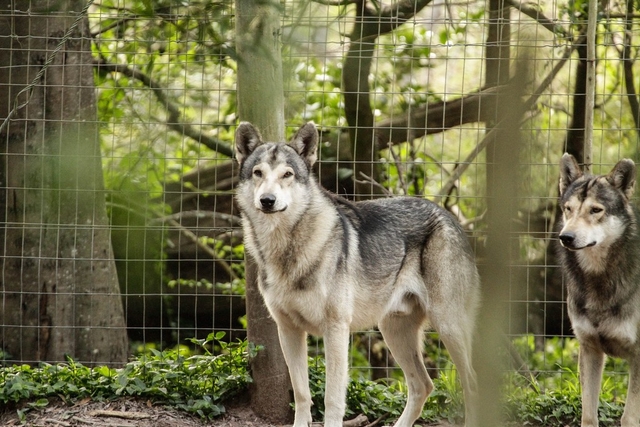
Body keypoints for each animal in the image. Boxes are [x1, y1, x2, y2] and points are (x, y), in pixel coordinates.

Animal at [235, 122, 480, 427]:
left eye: (287, 174)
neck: (286, 250)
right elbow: (302, 394)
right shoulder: (288, 330)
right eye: (258, 173)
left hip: (447, 327)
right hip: (393, 332)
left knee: (471, 384)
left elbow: (332, 399)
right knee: (423, 385)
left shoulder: (336, 329)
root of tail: (449, 216)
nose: (267, 200)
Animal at [556, 155, 640, 427]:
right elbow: (589, 414)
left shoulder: (638, 357)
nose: (566, 237)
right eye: (568, 209)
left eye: (595, 210)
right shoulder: (590, 349)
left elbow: (629, 418)